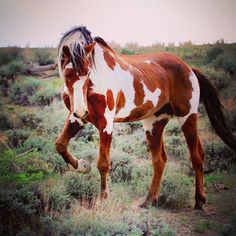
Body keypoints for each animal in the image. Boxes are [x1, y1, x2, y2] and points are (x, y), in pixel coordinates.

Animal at [54, 26, 235, 210]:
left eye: (88, 72)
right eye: (67, 73)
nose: (81, 109)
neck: (97, 81)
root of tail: (189, 69)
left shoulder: (105, 124)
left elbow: (103, 163)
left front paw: (103, 199)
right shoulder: (77, 119)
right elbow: (60, 144)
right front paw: (82, 165)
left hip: (187, 117)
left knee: (196, 156)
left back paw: (199, 200)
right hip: (154, 123)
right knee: (159, 161)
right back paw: (149, 200)